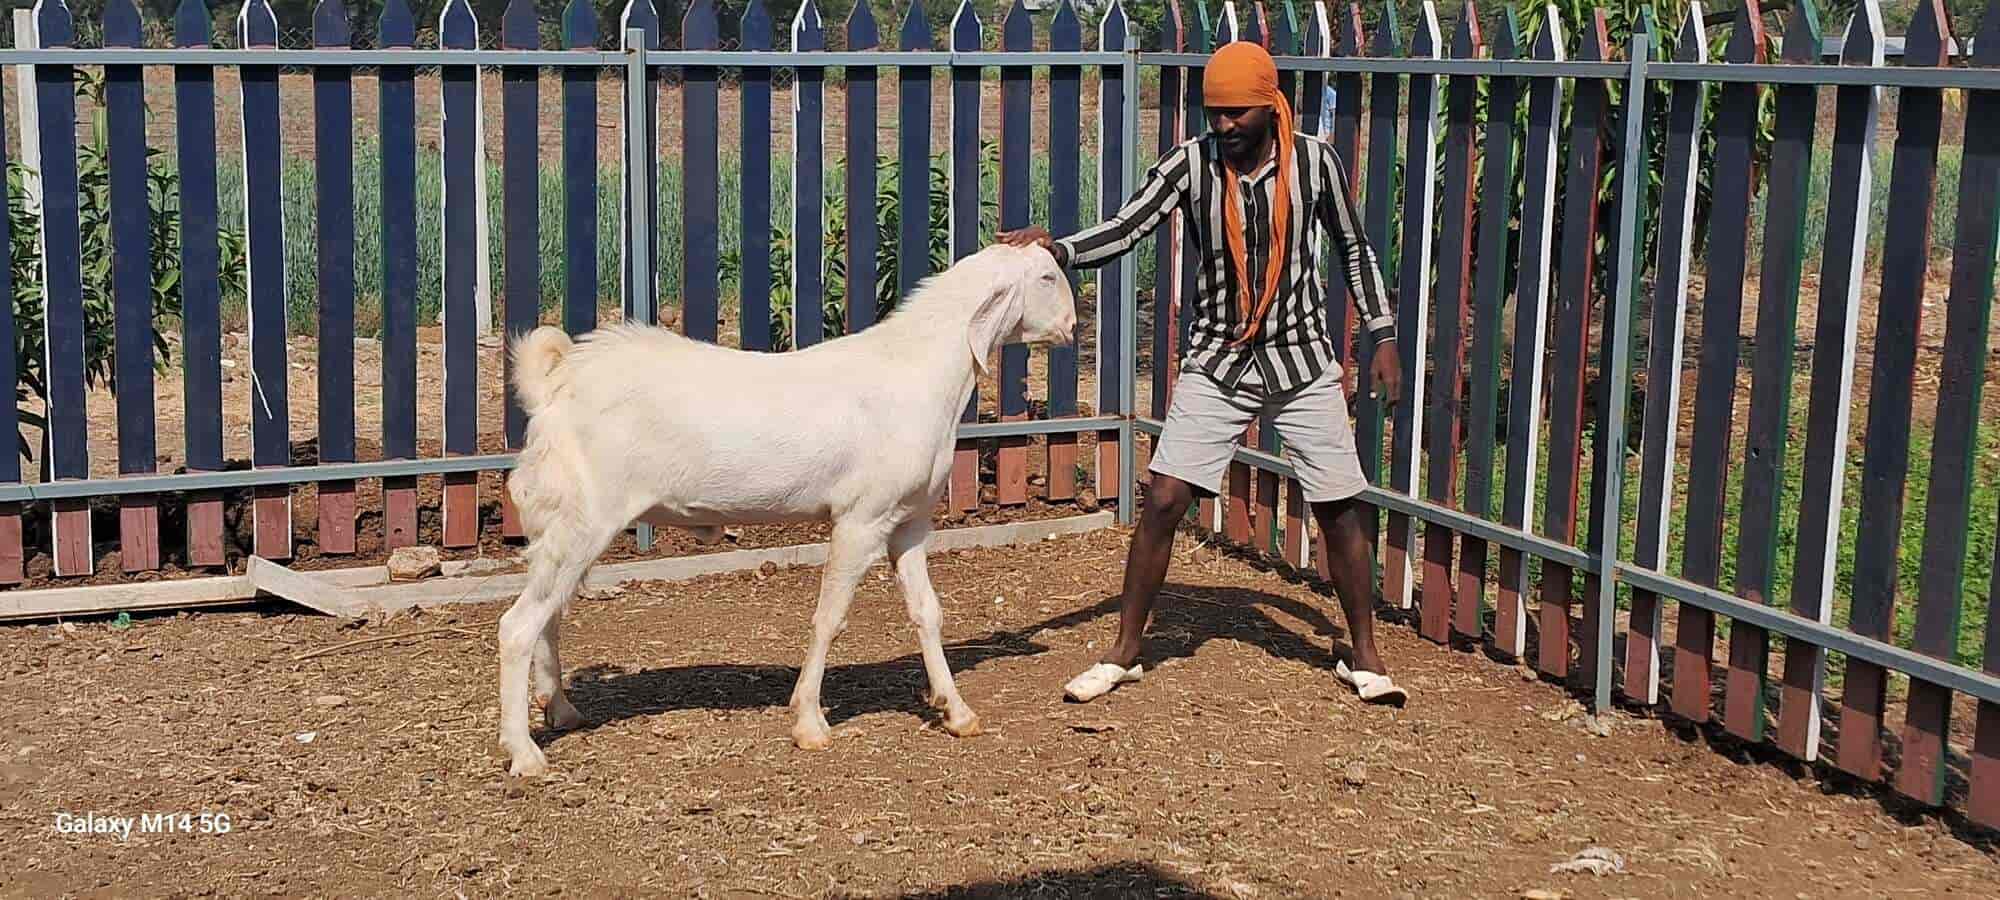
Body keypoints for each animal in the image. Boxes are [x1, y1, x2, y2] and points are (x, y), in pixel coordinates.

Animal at [497, 243, 1077, 776]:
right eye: (1048, 277)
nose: (1073, 326)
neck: (919, 372)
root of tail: (553, 387)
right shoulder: (861, 519)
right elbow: (830, 617)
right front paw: (809, 722)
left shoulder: (909, 522)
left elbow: (926, 612)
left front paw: (956, 711)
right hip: (584, 516)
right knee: (518, 625)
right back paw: (524, 753)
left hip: (566, 525)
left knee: (550, 615)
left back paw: (561, 710)